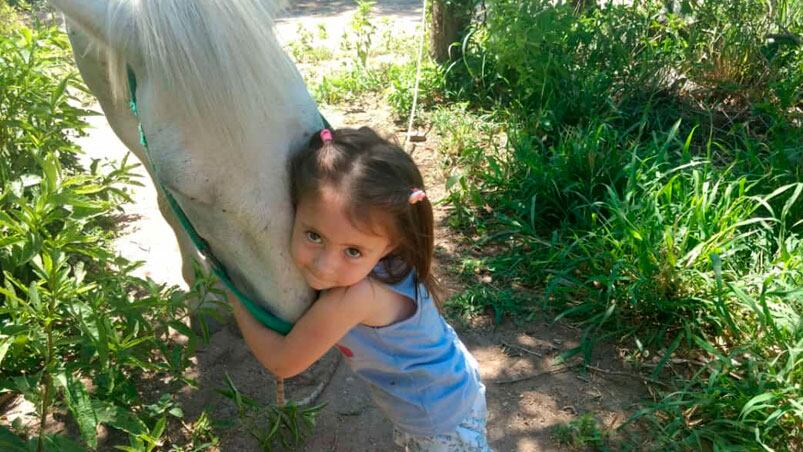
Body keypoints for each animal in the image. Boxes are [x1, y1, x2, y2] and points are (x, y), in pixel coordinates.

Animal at [48, 0, 320, 324]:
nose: (300, 316)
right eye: (181, 190)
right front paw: (201, 291)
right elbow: (167, 206)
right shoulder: (113, 107)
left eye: (311, 139)